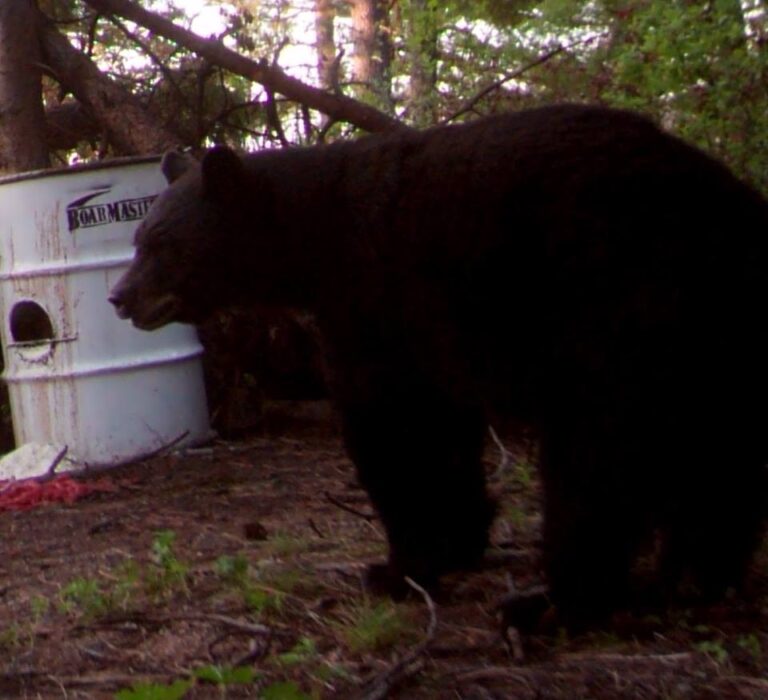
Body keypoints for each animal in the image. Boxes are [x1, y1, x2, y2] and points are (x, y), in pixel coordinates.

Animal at [109, 104, 768, 630]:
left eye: (160, 243)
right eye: (136, 240)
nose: (119, 296)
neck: (317, 236)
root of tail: (735, 210)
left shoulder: (378, 296)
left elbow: (393, 430)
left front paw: (399, 567)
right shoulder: (426, 337)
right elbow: (446, 431)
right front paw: (458, 542)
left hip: (619, 311)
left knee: (597, 459)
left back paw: (558, 601)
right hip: (711, 343)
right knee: (717, 454)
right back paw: (699, 575)